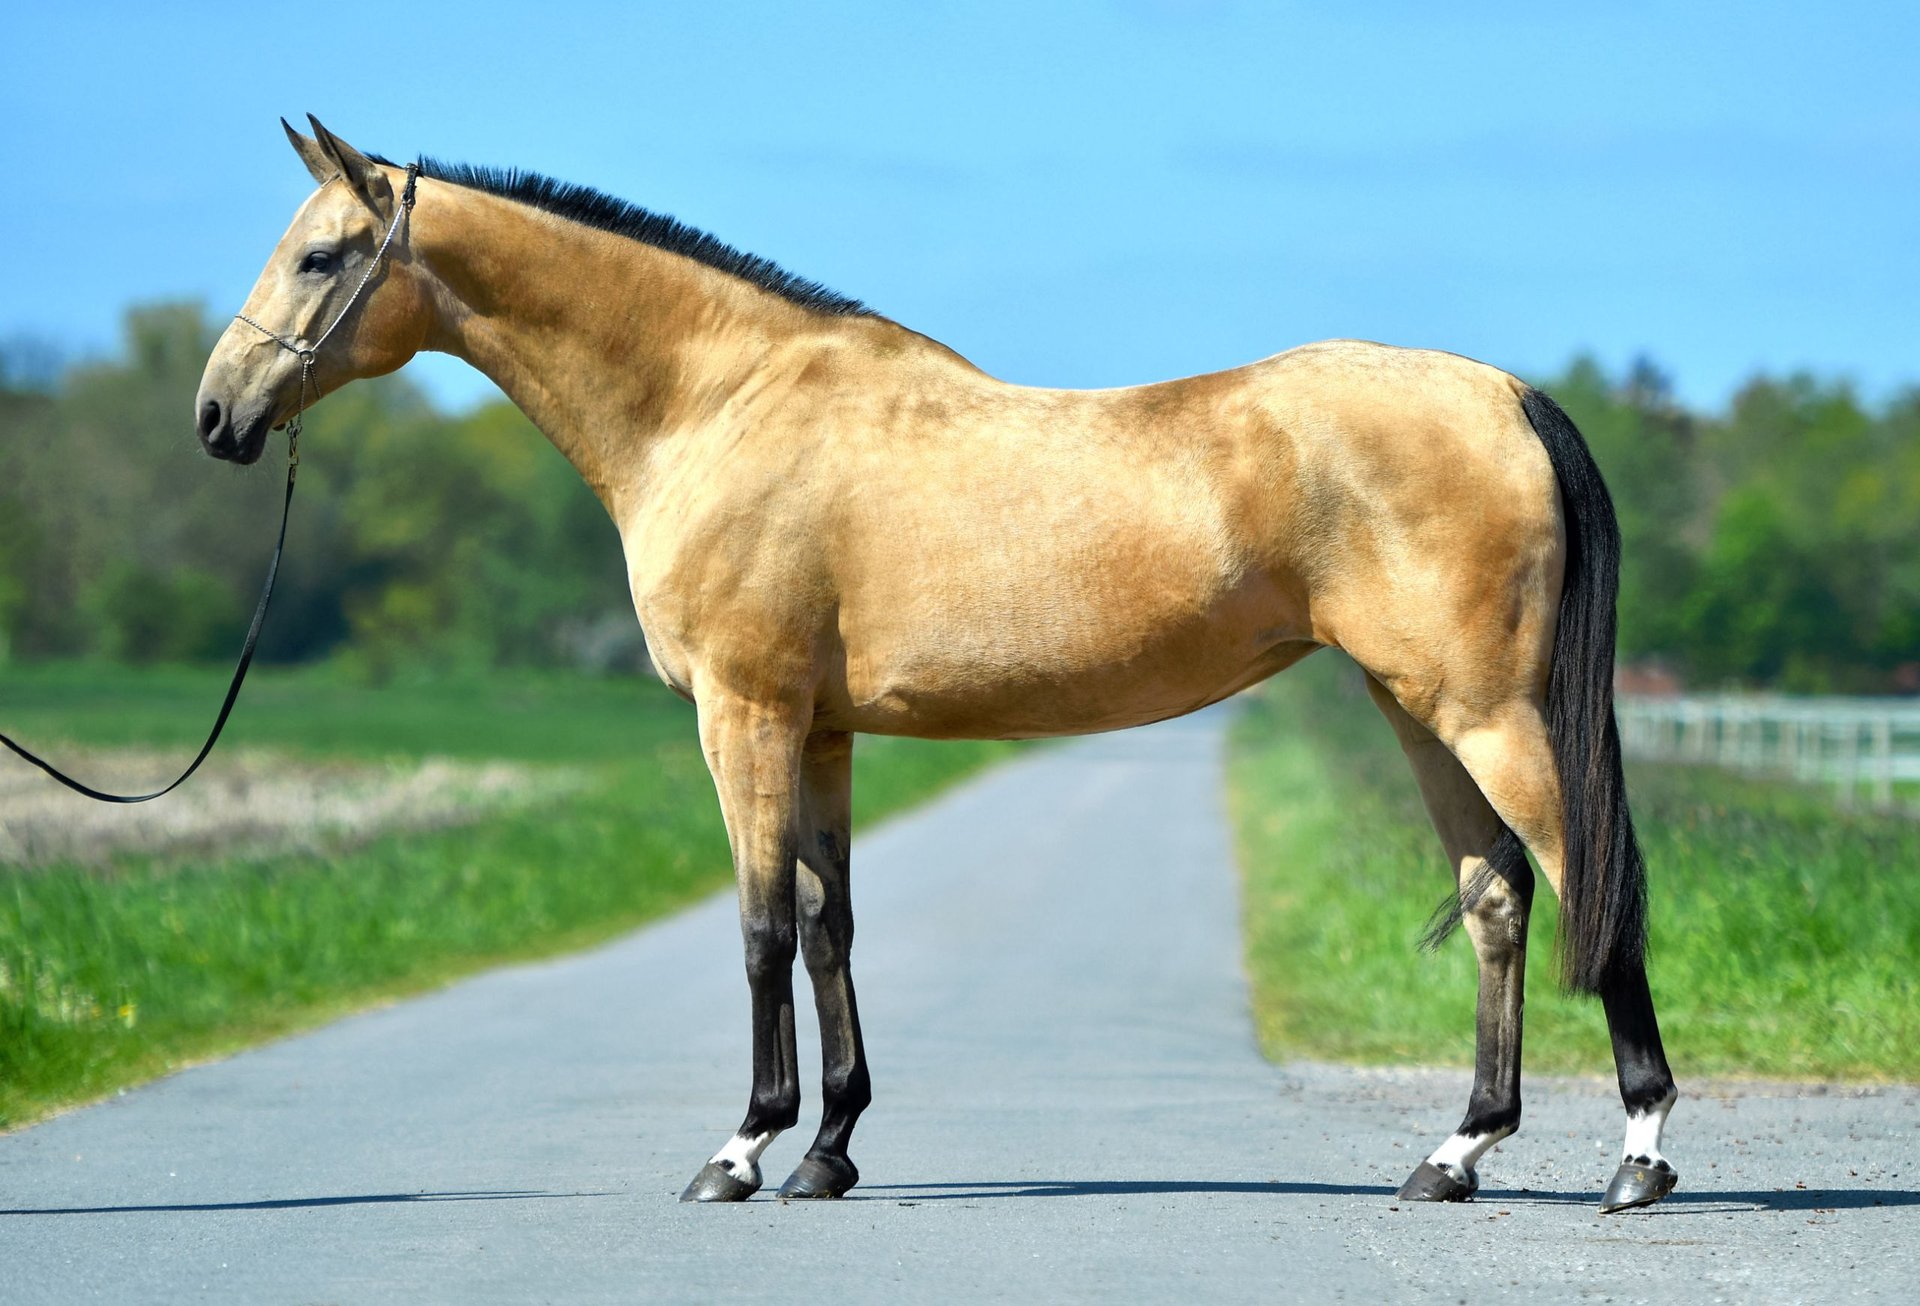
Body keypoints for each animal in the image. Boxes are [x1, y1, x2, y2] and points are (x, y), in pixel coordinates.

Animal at [187, 120, 1674, 1213]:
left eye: (322, 257)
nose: (216, 415)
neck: (718, 404)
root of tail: (1503, 392)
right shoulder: (822, 730)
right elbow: (828, 924)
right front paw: (830, 1150)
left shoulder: (745, 716)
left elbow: (759, 929)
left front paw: (741, 1151)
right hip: (1421, 713)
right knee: (1498, 898)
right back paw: (1454, 1155)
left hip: (1487, 715)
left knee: (1595, 886)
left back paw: (1641, 1157)